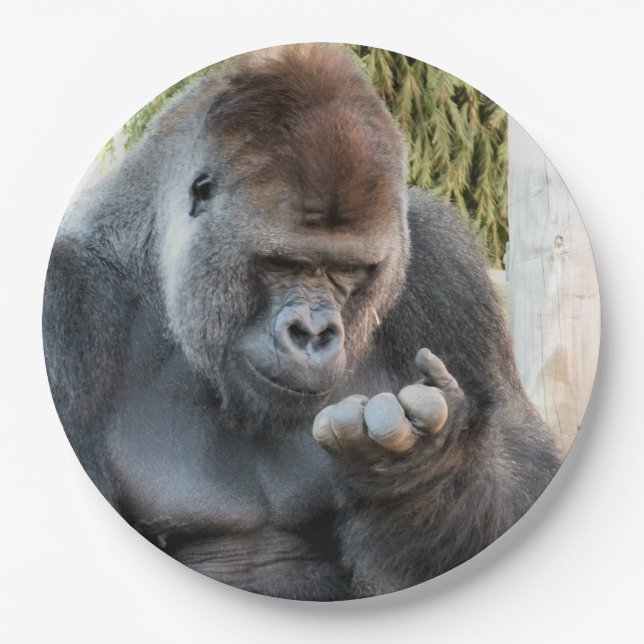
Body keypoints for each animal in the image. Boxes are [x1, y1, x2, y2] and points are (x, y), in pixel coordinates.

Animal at [43, 43, 560, 600]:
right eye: (282, 263)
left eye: (347, 271)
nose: (313, 334)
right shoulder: (65, 302)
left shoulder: (441, 264)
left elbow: (523, 470)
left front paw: (424, 466)